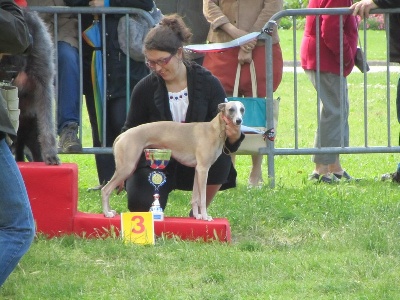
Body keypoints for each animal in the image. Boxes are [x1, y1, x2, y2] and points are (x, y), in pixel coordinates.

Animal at [101, 101, 244, 220]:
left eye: (242, 109)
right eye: (231, 109)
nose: (239, 121)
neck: (214, 129)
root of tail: (122, 135)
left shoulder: (198, 170)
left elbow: (195, 197)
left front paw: (197, 216)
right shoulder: (204, 169)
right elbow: (202, 199)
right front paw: (205, 216)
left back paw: (109, 211)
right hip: (126, 168)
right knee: (105, 190)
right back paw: (107, 213)